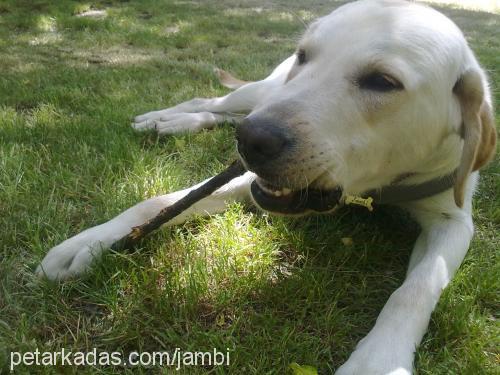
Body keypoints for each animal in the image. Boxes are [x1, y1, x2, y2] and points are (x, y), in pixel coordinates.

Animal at [36, 1, 496, 374]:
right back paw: (166, 119)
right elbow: (156, 202)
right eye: (305, 56)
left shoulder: (453, 221)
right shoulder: (248, 176)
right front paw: (90, 242)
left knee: (223, 114)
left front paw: (378, 360)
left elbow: (416, 289)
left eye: (383, 81)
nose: (252, 140)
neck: (376, 188)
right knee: (215, 102)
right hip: (265, 91)